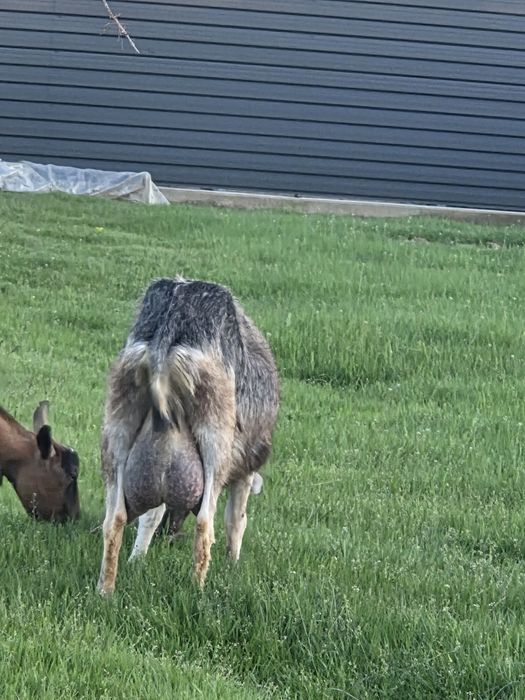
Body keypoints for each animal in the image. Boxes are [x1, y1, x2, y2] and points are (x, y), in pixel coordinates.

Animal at [97, 277, 279, 594]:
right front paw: (233, 564)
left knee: (116, 519)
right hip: (215, 438)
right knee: (206, 523)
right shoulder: (245, 468)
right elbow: (236, 520)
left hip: (118, 425)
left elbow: (150, 515)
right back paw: (199, 589)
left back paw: (105, 590)